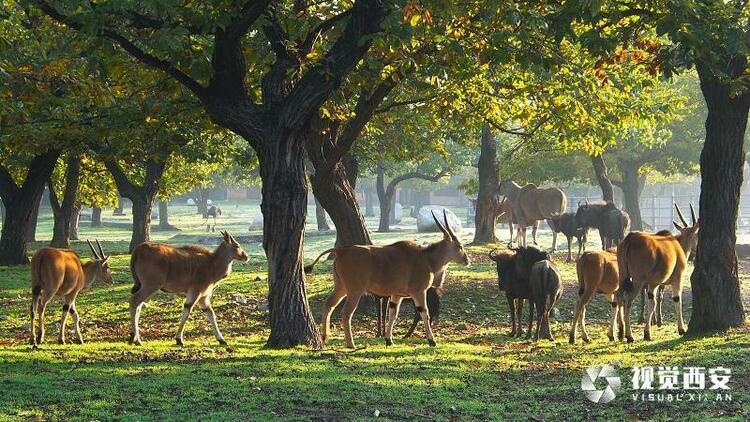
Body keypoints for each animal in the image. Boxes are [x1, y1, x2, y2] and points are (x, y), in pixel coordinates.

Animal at [306, 211, 470, 350]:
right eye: (459, 246)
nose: (467, 260)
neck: (426, 258)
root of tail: (341, 251)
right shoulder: (419, 292)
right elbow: (424, 313)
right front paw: (432, 340)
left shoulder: (397, 295)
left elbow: (393, 314)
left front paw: (389, 340)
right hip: (355, 291)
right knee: (346, 313)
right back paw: (350, 344)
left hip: (341, 288)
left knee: (329, 305)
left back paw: (324, 337)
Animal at [612, 203, 704, 342]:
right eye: (697, 235)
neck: (677, 245)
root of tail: (630, 239)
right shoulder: (676, 278)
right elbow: (676, 299)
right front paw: (681, 329)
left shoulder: (653, 284)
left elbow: (652, 302)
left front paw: (649, 329)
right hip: (638, 280)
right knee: (628, 299)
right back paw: (629, 335)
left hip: (624, 276)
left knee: (618, 296)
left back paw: (618, 333)